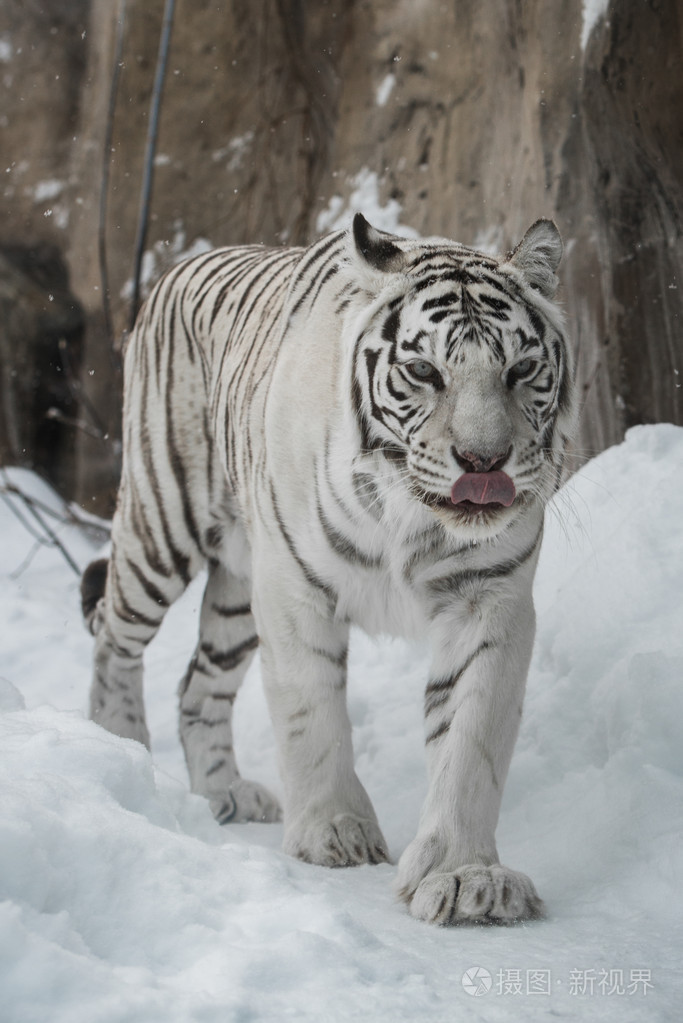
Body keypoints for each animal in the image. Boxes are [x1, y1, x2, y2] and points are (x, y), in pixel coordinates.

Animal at [83, 215, 576, 928]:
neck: (412, 517)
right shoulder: (293, 588)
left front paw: (466, 879)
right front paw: (335, 834)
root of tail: (179, 267)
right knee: (113, 636)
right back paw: (121, 752)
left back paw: (226, 793)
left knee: (199, 685)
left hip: (238, 593)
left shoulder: (490, 599)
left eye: (523, 368)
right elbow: (310, 714)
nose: (485, 462)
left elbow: (471, 739)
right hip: (160, 524)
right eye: (423, 370)